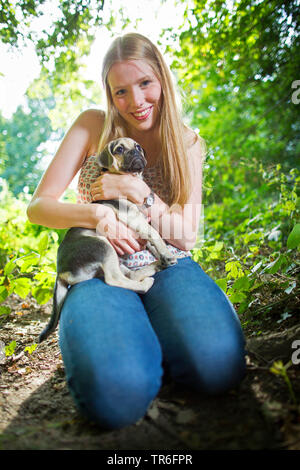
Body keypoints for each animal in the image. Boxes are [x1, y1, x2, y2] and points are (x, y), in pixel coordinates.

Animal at [38, 137, 177, 342]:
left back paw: (155, 267)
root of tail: (61, 271)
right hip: (102, 247)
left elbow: (152, 243)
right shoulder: (135, 219)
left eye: (137, 147)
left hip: (112, 259)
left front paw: (163, 256)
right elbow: (156, 235)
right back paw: (147, 283)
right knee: (115, 280)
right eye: (119, 149)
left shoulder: (143, 224)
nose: (136, 153)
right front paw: (167, 254)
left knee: (130, 275)